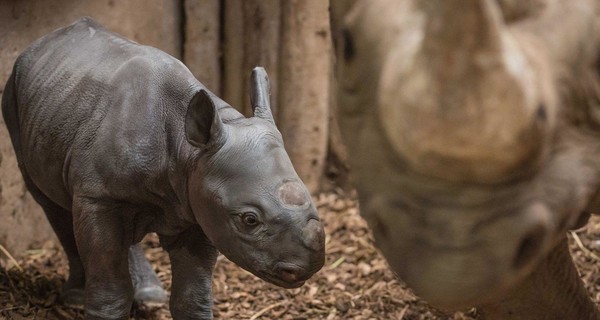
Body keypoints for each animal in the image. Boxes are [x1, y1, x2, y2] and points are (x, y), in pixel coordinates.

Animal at [2, 18, 326, 320]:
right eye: (249, 220)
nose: (307, 267)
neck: (188, 150)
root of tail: (44, 40)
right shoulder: (99, 195)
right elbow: (110, 286)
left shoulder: (200, 199)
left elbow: (192, 295)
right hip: (13, 94)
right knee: (51, 202)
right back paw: (75, 297)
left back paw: (148, 294)